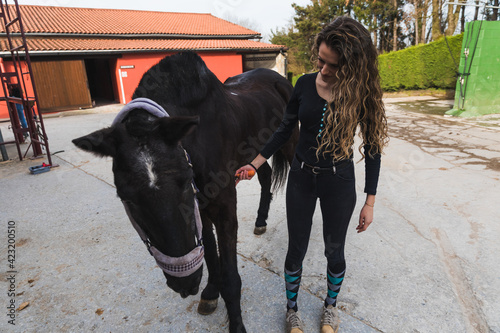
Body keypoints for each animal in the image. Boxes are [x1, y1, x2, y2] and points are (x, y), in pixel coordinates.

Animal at [73, 50, 298, 330]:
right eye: (126, 198)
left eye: (184, 181)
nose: (185, 285)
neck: (199, 138)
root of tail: (279, 78)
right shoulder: (201, 207)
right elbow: (210, 254)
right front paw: (211, 292)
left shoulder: (223, 207)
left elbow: (230, 275)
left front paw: (236, 323)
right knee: (265, 176)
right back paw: (260, 221)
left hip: (288, 143)